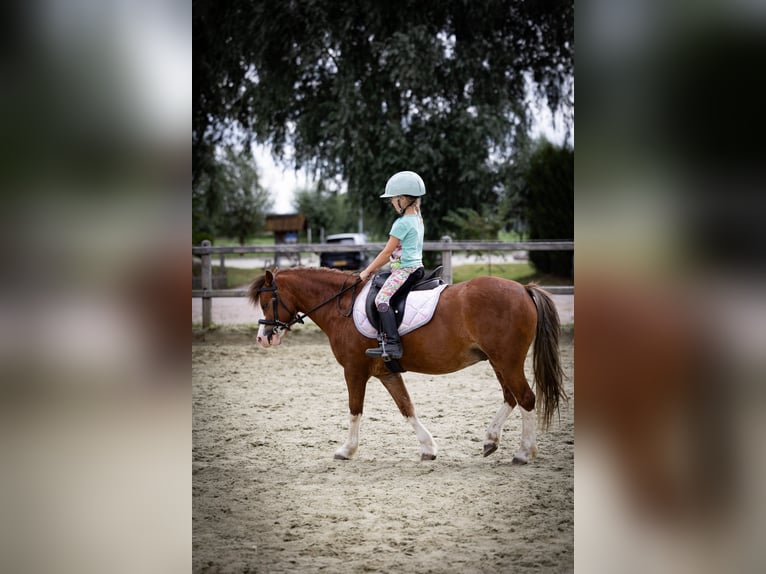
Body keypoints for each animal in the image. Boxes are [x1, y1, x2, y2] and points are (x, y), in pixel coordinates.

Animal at [249, 267, 566, 463]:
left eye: (266, 301)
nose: (263, 338)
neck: (342, 307)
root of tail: (524, 289)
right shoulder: (386, 374)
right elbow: (406, 407)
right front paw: (428, 448)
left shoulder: (354, 370)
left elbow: (355, 410)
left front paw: (347, 450)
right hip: (497, 362)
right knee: (511, 398)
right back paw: (491, 440)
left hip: (507, 360)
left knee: (526, 398)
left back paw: (524, 453)